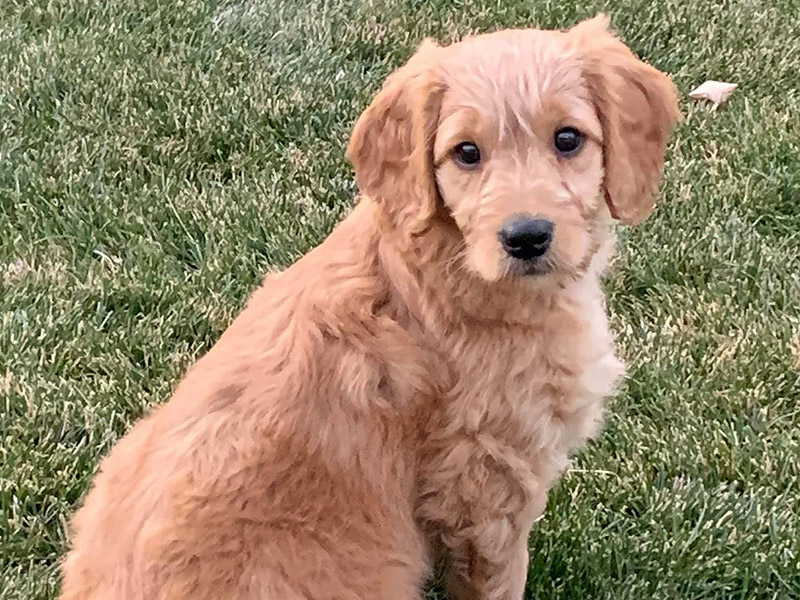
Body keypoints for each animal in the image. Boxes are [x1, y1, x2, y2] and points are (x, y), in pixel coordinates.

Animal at [59, 14, 680, 600]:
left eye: (568, 139)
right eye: (467, 153)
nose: (526, 238)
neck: (450, 261)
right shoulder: (484, 485)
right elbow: (500, 579)